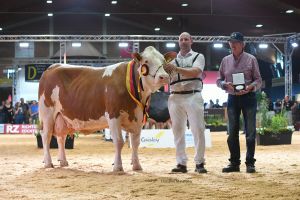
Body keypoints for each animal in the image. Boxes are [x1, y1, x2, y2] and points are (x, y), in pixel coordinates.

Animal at [38, 46, 176, 171]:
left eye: (164, 61)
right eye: (146, 61)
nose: (164, 76)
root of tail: (52, 67)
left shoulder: (138, 118)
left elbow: (135, 143)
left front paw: (137, 166)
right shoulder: (113, 115)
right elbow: (119, 141)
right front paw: (118, 166)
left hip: (62, 117)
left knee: (61, 137)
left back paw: (63, 162)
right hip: (47, 113)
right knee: (46, 136)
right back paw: (48, 163)